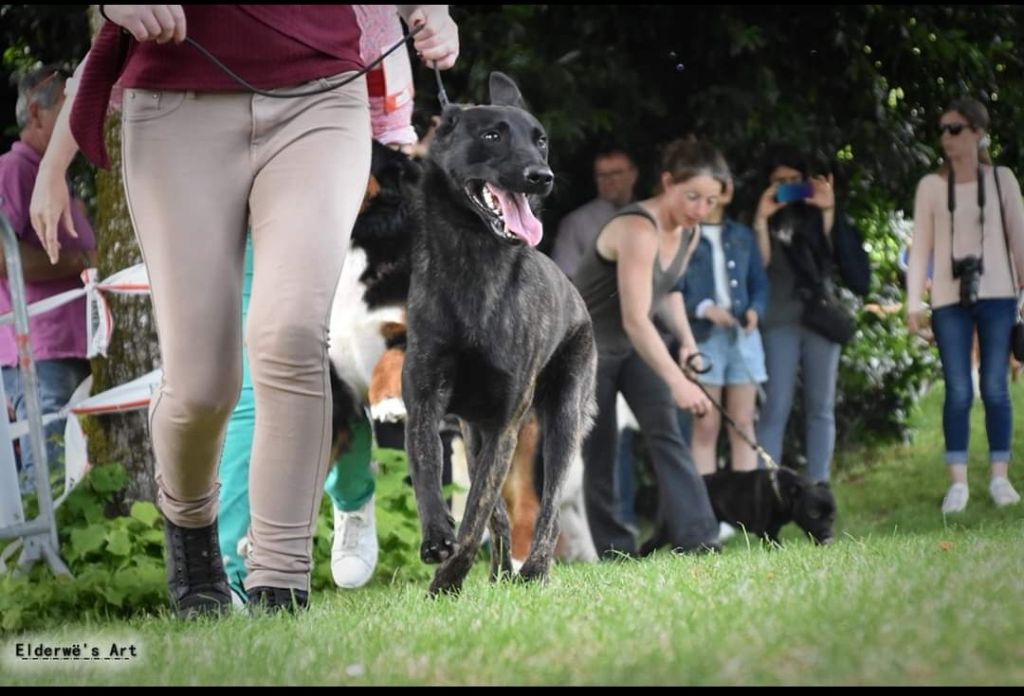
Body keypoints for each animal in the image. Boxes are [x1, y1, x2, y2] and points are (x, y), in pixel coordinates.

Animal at [399, 70, 598, 593]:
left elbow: (476, 516)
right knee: (503, 516)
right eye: (492, 136)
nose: (542, 177)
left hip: (562, 419)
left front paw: (446, 580)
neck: (474, 259)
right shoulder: (426, 402)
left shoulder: (506, 422)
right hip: (473, 433)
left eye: (540, 139)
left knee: (549, 507)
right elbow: (429, 472)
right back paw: (500, 571)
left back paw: (534, 570)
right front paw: (436, 539)